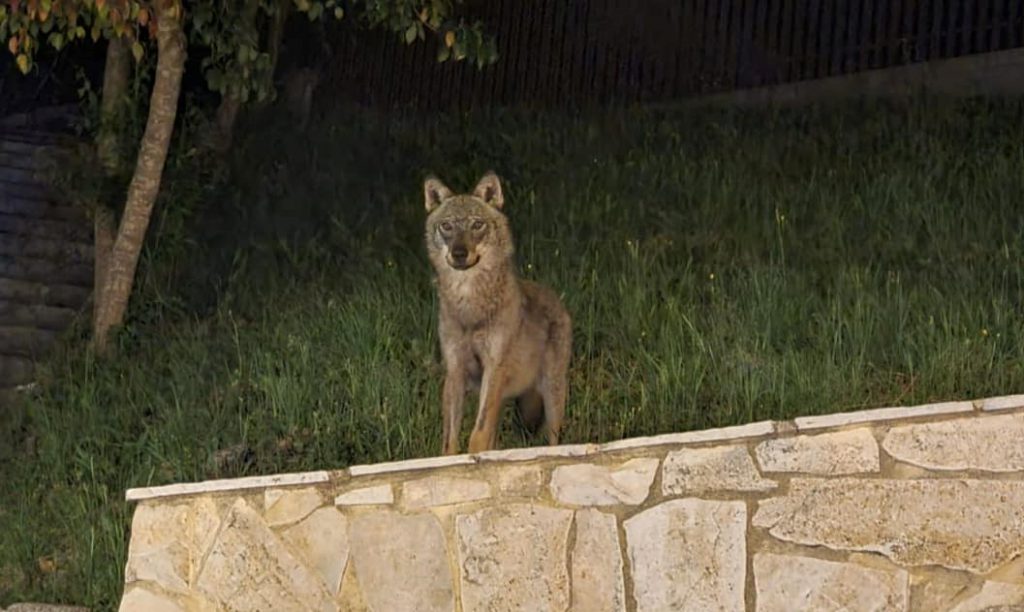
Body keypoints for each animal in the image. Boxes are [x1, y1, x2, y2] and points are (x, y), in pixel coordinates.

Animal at [423, 172, 572, 455]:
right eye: (447, 226)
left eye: (477, 225)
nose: (459, 253)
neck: (469, 306)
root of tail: (555, 297)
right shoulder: (455, 371)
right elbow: (450, 441)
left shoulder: (494, 368)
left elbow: (477, 435)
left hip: (551, 396)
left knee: (553, 438)